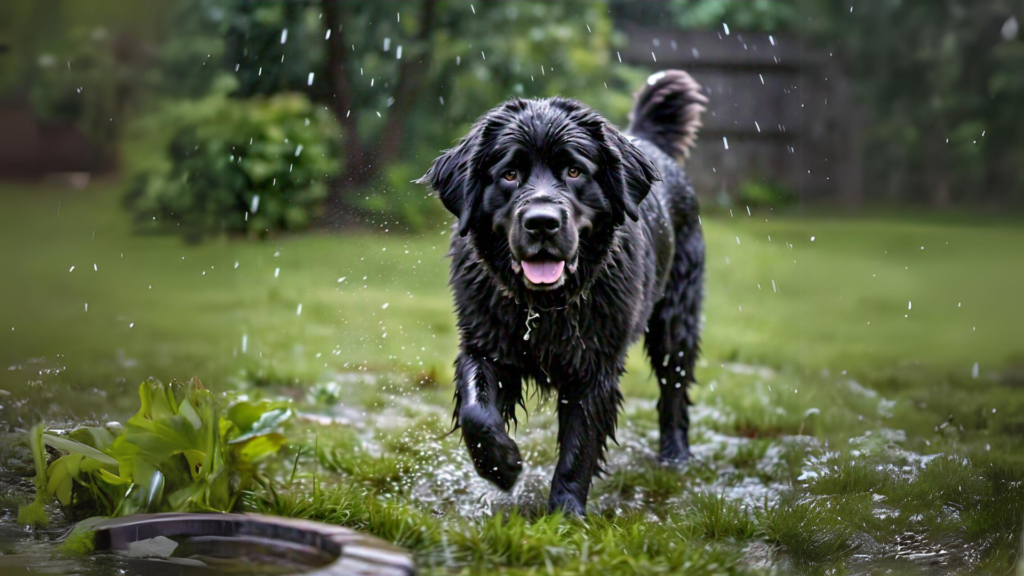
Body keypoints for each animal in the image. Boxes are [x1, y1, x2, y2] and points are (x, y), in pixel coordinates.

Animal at [419, 69, 708, 512]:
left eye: (574, 171)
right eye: (509, 174)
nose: (542, 222)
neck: (543, 305)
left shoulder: (596, 366)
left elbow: (579, 442)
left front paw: (565, 513)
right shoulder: (484, 342)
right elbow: (476, 412)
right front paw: (502, 466)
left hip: (676, 319)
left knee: (673, 386)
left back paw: (675, 455)